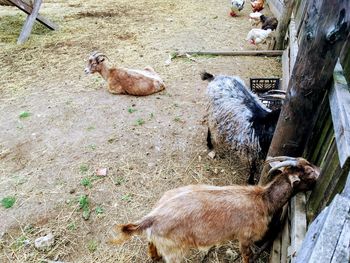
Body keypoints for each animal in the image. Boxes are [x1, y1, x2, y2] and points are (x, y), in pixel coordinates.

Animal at [110, 158, 320, 262]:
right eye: (309, 172)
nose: (319, 171)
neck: (263, 199)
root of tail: (153, 217)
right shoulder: (245, 237)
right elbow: (247, 256)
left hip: (158, 239)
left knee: (150, 244)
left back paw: (154, 257)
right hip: (175, 251)